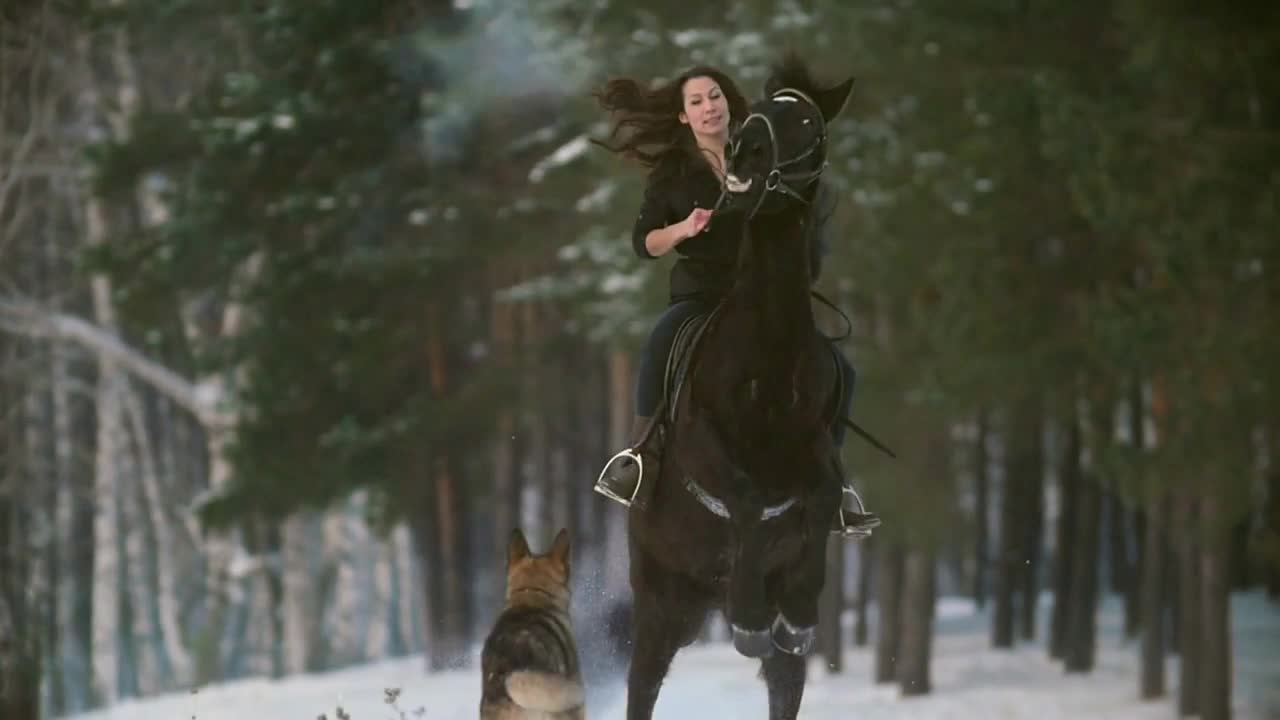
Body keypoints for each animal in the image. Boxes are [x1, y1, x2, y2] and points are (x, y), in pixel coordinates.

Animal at [622, 54, 855, 717]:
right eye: (759, 109)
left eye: (806, 119)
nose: (742, 151)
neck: (768, 358)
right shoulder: (707, 454)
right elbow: (747, 497)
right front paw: (749, 619)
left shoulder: (816, 452)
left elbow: (821, 496)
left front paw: (796, 616)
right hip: (665, 601)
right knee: (642, 682)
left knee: (783, 681)